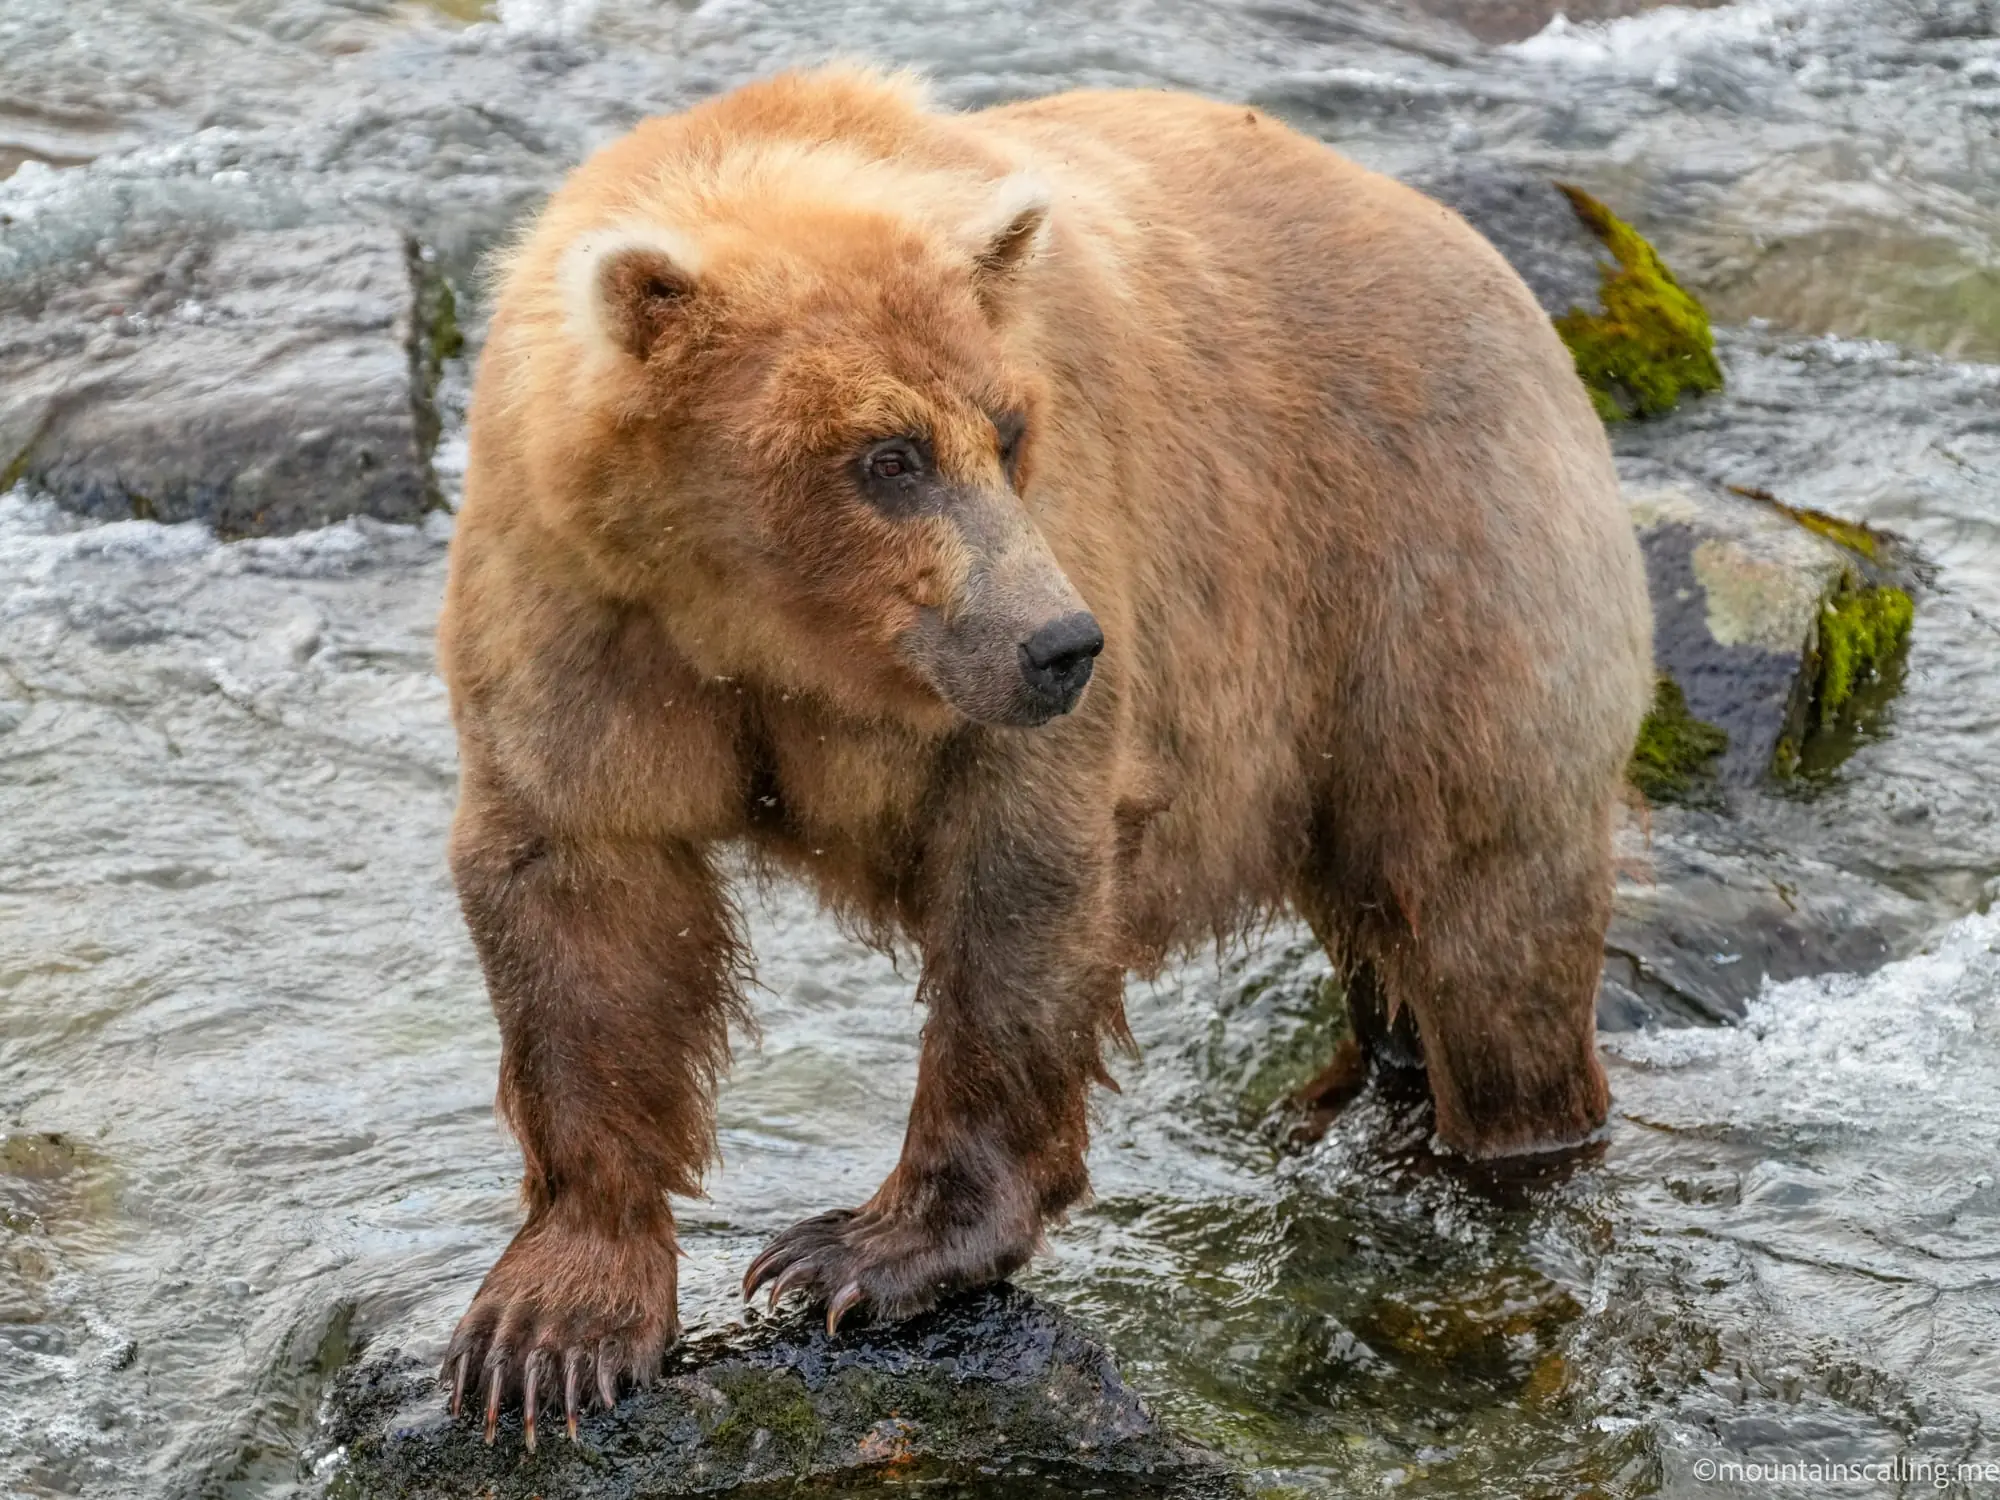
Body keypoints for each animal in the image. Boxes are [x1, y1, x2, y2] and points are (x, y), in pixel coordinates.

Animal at [435, 64, 1654, 1445]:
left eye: (1007, 430)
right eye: (886, 456)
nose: (1059, 644)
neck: (771, 633)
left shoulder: (1053, 586)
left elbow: (1016, 895)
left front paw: (858, 1254)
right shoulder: (583, 608)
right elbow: (583, 894)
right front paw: (548, 1330)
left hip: (1431, 585)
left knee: (1483, 918)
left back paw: (1496, 1148)